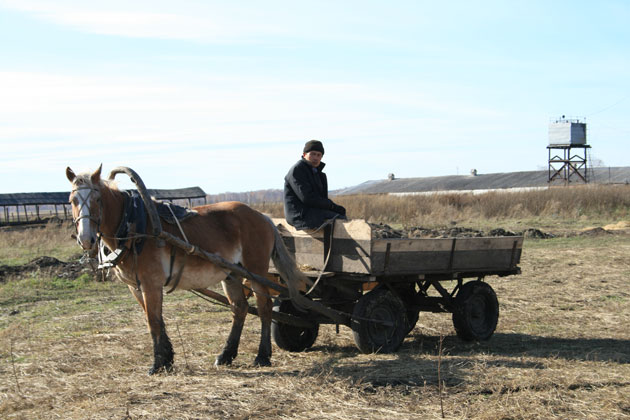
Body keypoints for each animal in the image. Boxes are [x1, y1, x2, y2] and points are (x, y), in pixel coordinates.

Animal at [66, 165, 308, 374]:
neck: (134, 226)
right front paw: (167, 359)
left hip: (255, 271)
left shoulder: (151, 283)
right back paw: (226, 355)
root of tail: (262, 216)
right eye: (72, 200)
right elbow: (154, 318)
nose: (85, 239)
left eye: (98, 199)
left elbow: (154, 321)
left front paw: (157, 364)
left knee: (265, 308)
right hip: (232, 273)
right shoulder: (135, 287)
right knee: (239, 308)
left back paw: (262, 356)